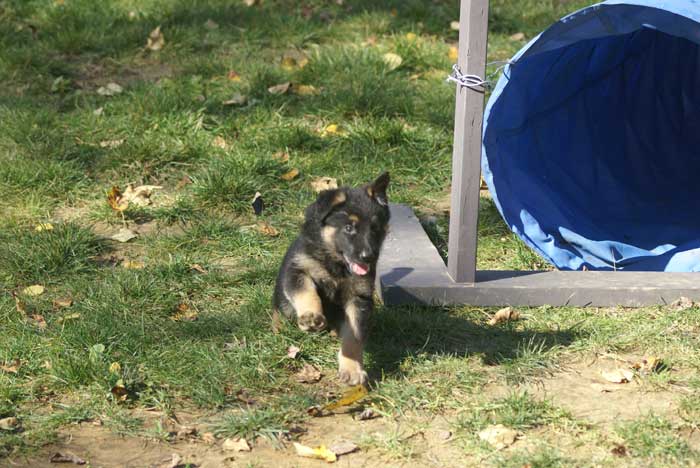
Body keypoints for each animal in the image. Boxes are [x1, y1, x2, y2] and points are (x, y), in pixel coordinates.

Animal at [272, 174, 388, 386]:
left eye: (375, 228)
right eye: (349, 228)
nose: (368, 257)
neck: (337, 264)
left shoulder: (359, 298)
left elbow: (354, 336)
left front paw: (352, 369)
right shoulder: (297, 271)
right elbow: (307, 293)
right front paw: (310, 316)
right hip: (283, 305)